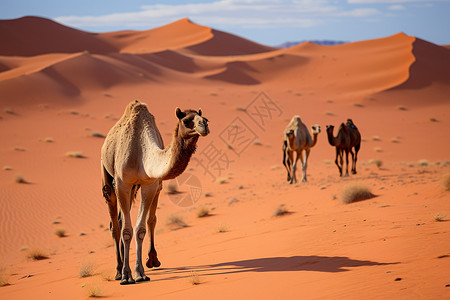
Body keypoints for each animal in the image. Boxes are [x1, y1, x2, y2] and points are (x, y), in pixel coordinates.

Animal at [100, 100, 209, 284]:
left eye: (204, 118)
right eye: (186, 120)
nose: (205, 125)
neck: (141, 154)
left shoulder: (149, 184)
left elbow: (140, 229)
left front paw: (140, 273)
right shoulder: (122, 183)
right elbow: (126, 231)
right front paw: (127, 276)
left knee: (133, 220)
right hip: (107, 175)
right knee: (115, 224)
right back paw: (118, 271)